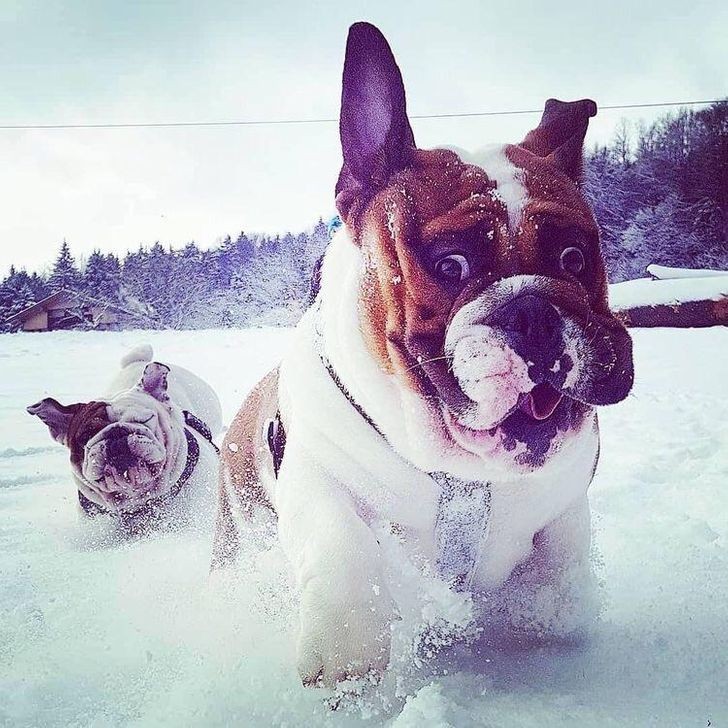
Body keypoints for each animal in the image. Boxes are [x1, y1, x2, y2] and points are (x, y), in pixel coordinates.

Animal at [215, 21, 632, 684]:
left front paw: (547, 616)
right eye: (450, 264)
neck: (462, 475)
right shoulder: (315, 471)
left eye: (574, 257)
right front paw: (348, 649)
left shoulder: (564, 498)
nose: (536, 312)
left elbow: (560, 560)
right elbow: (342, 544)